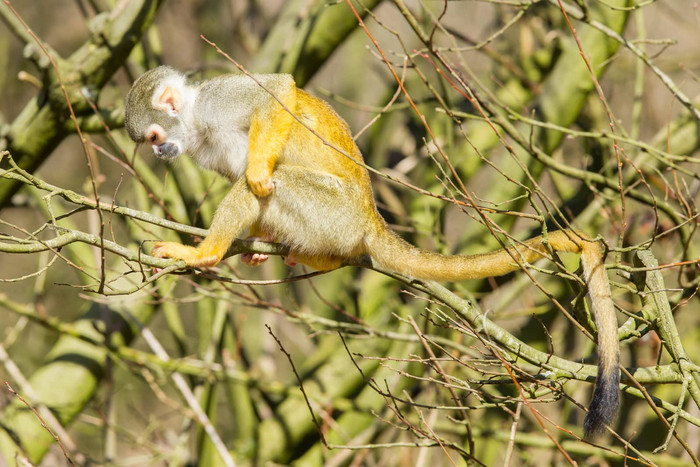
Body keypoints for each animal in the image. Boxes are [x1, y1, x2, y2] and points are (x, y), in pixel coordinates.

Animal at [124, 66, 616, 438]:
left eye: (154, 137)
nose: (162, 154)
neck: (195, 122)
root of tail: (370, 218)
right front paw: (254, 249)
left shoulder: (216, 101)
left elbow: (277, 92)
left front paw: (257, 174)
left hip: (333, 211)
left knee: (268, 181)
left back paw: (206, 252)